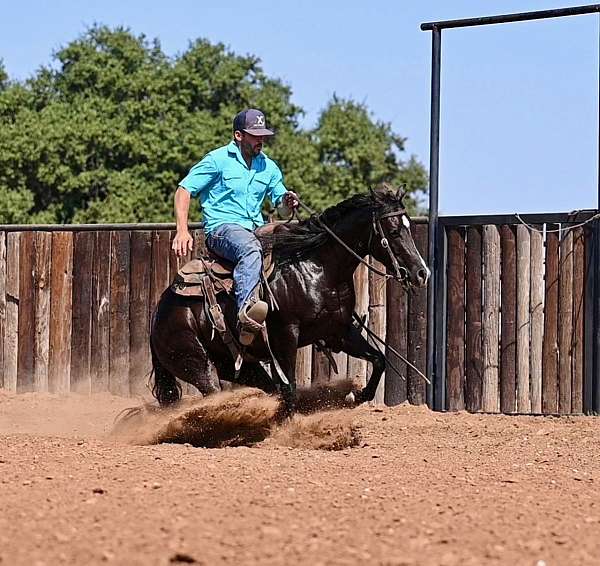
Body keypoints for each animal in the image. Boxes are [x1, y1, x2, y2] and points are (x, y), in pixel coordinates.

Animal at [150, 186, 432, 412]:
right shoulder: (286, 334)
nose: (422, 273)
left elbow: (379, 359)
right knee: (214, 392)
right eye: (394, 231)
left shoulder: (338, 332)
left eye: (408, 226)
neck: (321, 267)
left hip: (236, 364)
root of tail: (159, 314)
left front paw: (356, 395)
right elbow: (291, 387)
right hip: (196, 363)